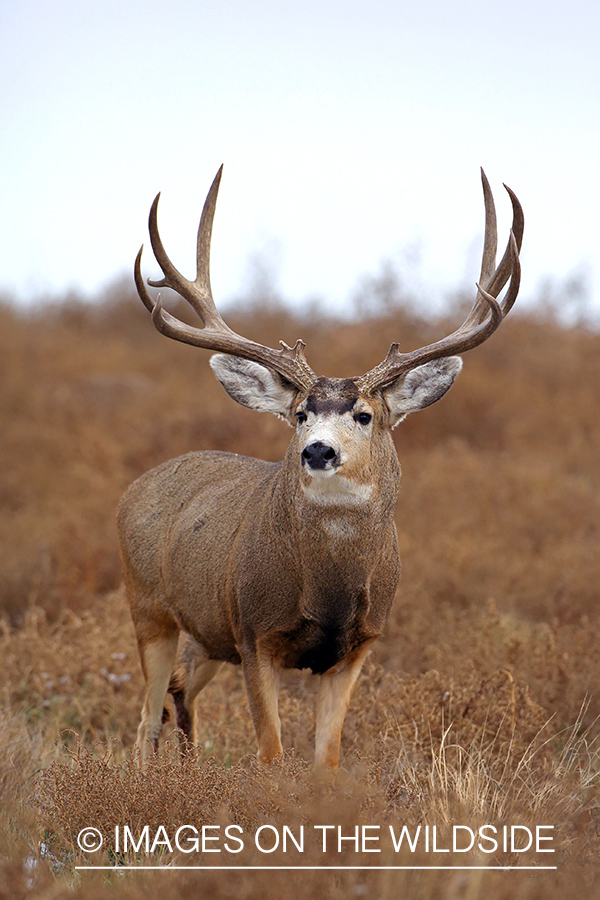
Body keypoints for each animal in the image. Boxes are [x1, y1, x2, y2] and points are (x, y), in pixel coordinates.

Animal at [119, 167, 524, 772]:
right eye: (300, 414)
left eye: (364, 414)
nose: (317, 451)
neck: (328, 589)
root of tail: (134, 489)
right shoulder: (255, 633)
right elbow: (271, 757)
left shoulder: (358, 646)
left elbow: (325, 761)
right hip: (149, 609)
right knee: (147, 718)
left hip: (208, 636)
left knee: (179, 692)